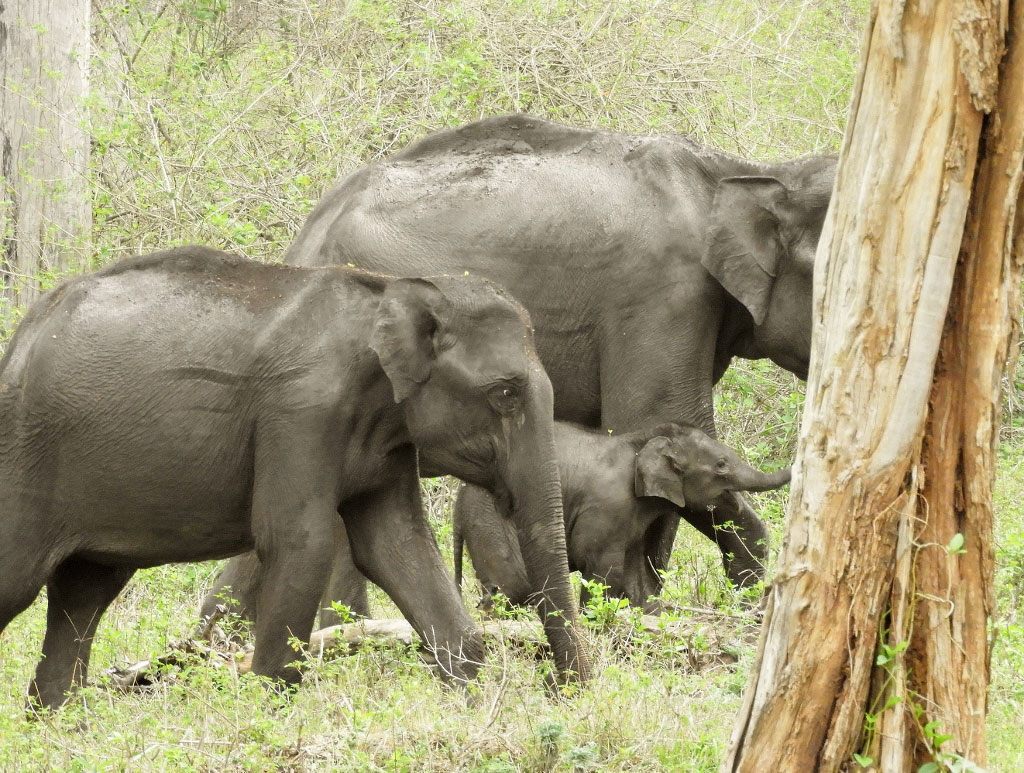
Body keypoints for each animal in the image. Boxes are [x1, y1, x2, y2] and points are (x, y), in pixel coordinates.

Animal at [2, 246, 593, 708]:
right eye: (505, 393)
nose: (561, 690)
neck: (387, 293)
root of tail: (22, 334)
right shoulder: (300, 411)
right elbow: (299, 542)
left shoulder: (386, 440)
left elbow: (396, 545)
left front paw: (466, 698)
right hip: (23, 458)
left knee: (83, 594)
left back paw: (55, 722)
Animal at [456, 419, 790, 614]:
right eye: (721, 465)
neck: (644, 440)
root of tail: (458, 502)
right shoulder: (608, 504)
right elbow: (602, 567)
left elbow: (635, 576)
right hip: (490, 517)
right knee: (514, 585)